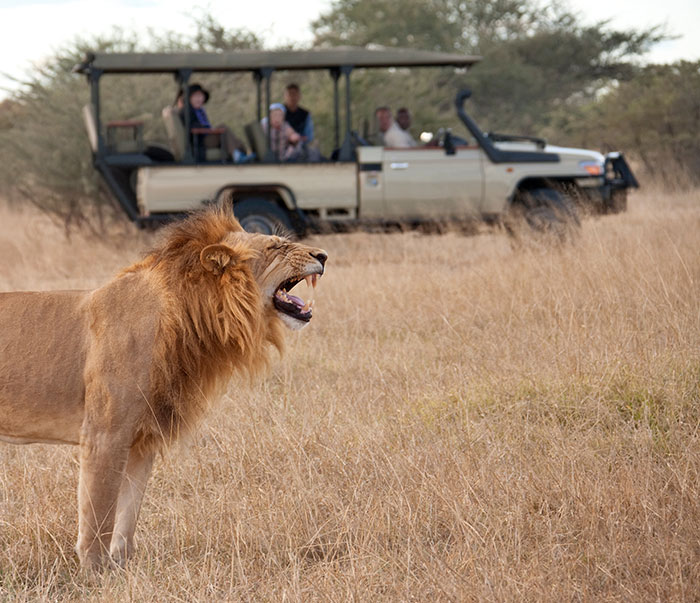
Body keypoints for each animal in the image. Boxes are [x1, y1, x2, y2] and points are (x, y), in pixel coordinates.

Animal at [0, 208, 328, 569]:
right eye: (276, 246)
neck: (188, 319)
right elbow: (99, 513)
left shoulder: (142, 440)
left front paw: (122, 567)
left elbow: (127, 514)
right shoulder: (104, 435)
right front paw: (94, 571)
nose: (323, 256)